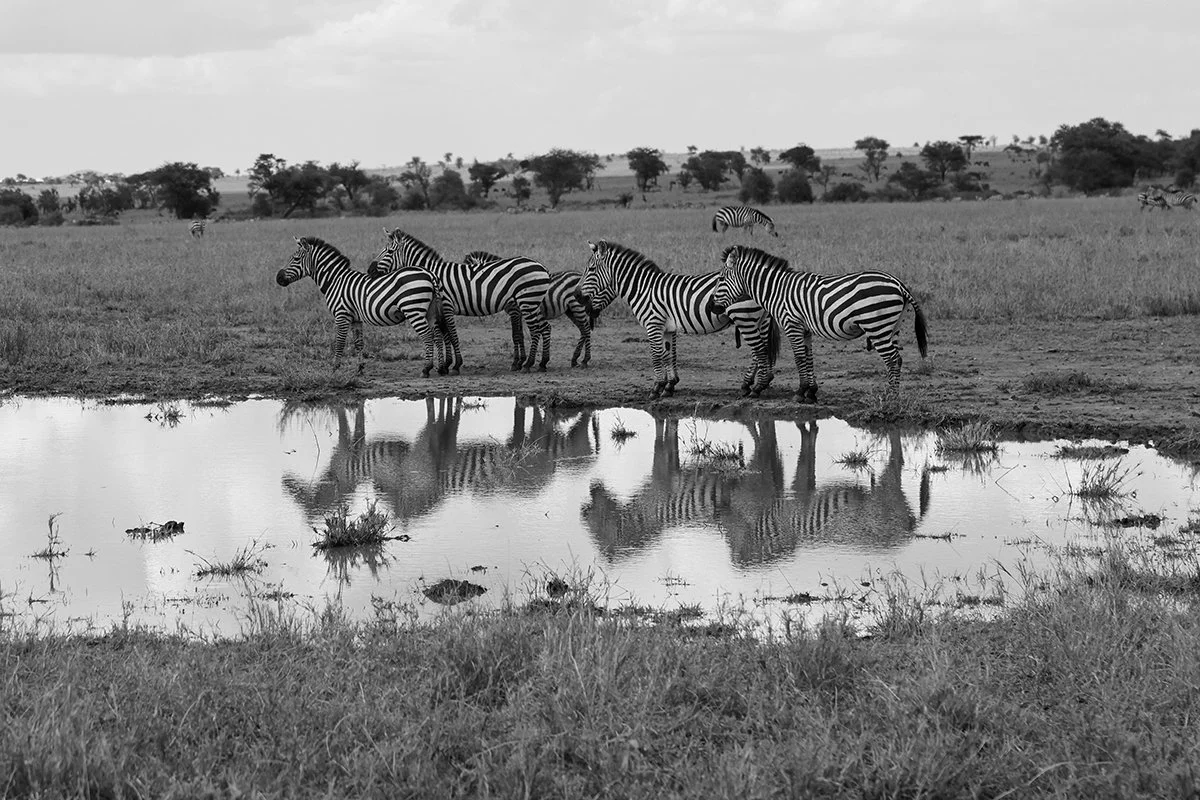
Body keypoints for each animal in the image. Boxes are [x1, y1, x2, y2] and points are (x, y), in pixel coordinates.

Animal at [276, 236, 450, 376]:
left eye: (295, 259)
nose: (278, 278)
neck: (335, 280)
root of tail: (429, 273)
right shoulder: (355, 318)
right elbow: (358, 343)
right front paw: (359, 369)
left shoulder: (342, 314)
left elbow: (340, 342)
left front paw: (335, 368)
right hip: (430, 311)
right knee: (437, 334)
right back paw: (440, 368)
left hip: (413, 309)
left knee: (427, 335)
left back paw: (426, 368)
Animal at [368, 228, 552, 372]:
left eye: (389, 252)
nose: (370, 271)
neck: (433, 274)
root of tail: (541, 266)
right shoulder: (440, 309)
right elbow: (444, 335)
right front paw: (447, 364)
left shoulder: (447, 305)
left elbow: (451, 334)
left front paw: (454, 365)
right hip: (530, 303)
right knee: (544, 327)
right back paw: (541, 363)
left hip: (527, 301)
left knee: (535, 330)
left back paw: (528, 364)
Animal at [464, 250, 597, 367]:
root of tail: (580, 276)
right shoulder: (518, 312)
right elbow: (520, 334)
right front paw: (521, 360)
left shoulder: (515, 311)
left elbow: (516, 335)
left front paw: (517, 362)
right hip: (570, 310)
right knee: (583, 330)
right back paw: (575, 359)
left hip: (577, 307)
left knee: (586, 329)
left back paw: (585, 360)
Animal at [573, 240, 780, 399]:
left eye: (591, 269)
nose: (576, 295)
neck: (643, 288)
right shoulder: (668, 328)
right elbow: (669, 355)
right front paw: (669, 386)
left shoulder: (653, 324)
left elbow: (656, 355)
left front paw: (656, 388)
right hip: (759, 320)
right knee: (759, 352)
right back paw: (752, 383)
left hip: (744, 316)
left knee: (759, 351)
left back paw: (756, 388)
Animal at [708, 245, 927, 403]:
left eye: (721, 278)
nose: (710, 306)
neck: (777, 290)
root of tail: (898, 283)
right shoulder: (805, 330)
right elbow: (809, 358)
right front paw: (811, 392)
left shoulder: (792, 325)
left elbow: (798, 359)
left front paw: (800, 392)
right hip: (892, 327)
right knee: (897, 359)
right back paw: (892, 393)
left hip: (876, 325)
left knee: (892, 359)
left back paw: (891, 397)